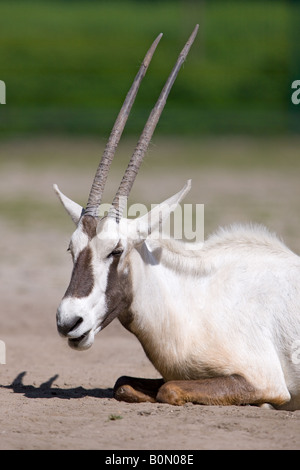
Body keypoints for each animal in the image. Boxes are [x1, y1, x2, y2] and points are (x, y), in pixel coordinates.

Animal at [54, 24, 300, 408]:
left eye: (116, 250)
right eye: (71, 249)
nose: (68, 321)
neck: (188, 301)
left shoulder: (266, 380)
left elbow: (169, 388)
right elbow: (123, 383)